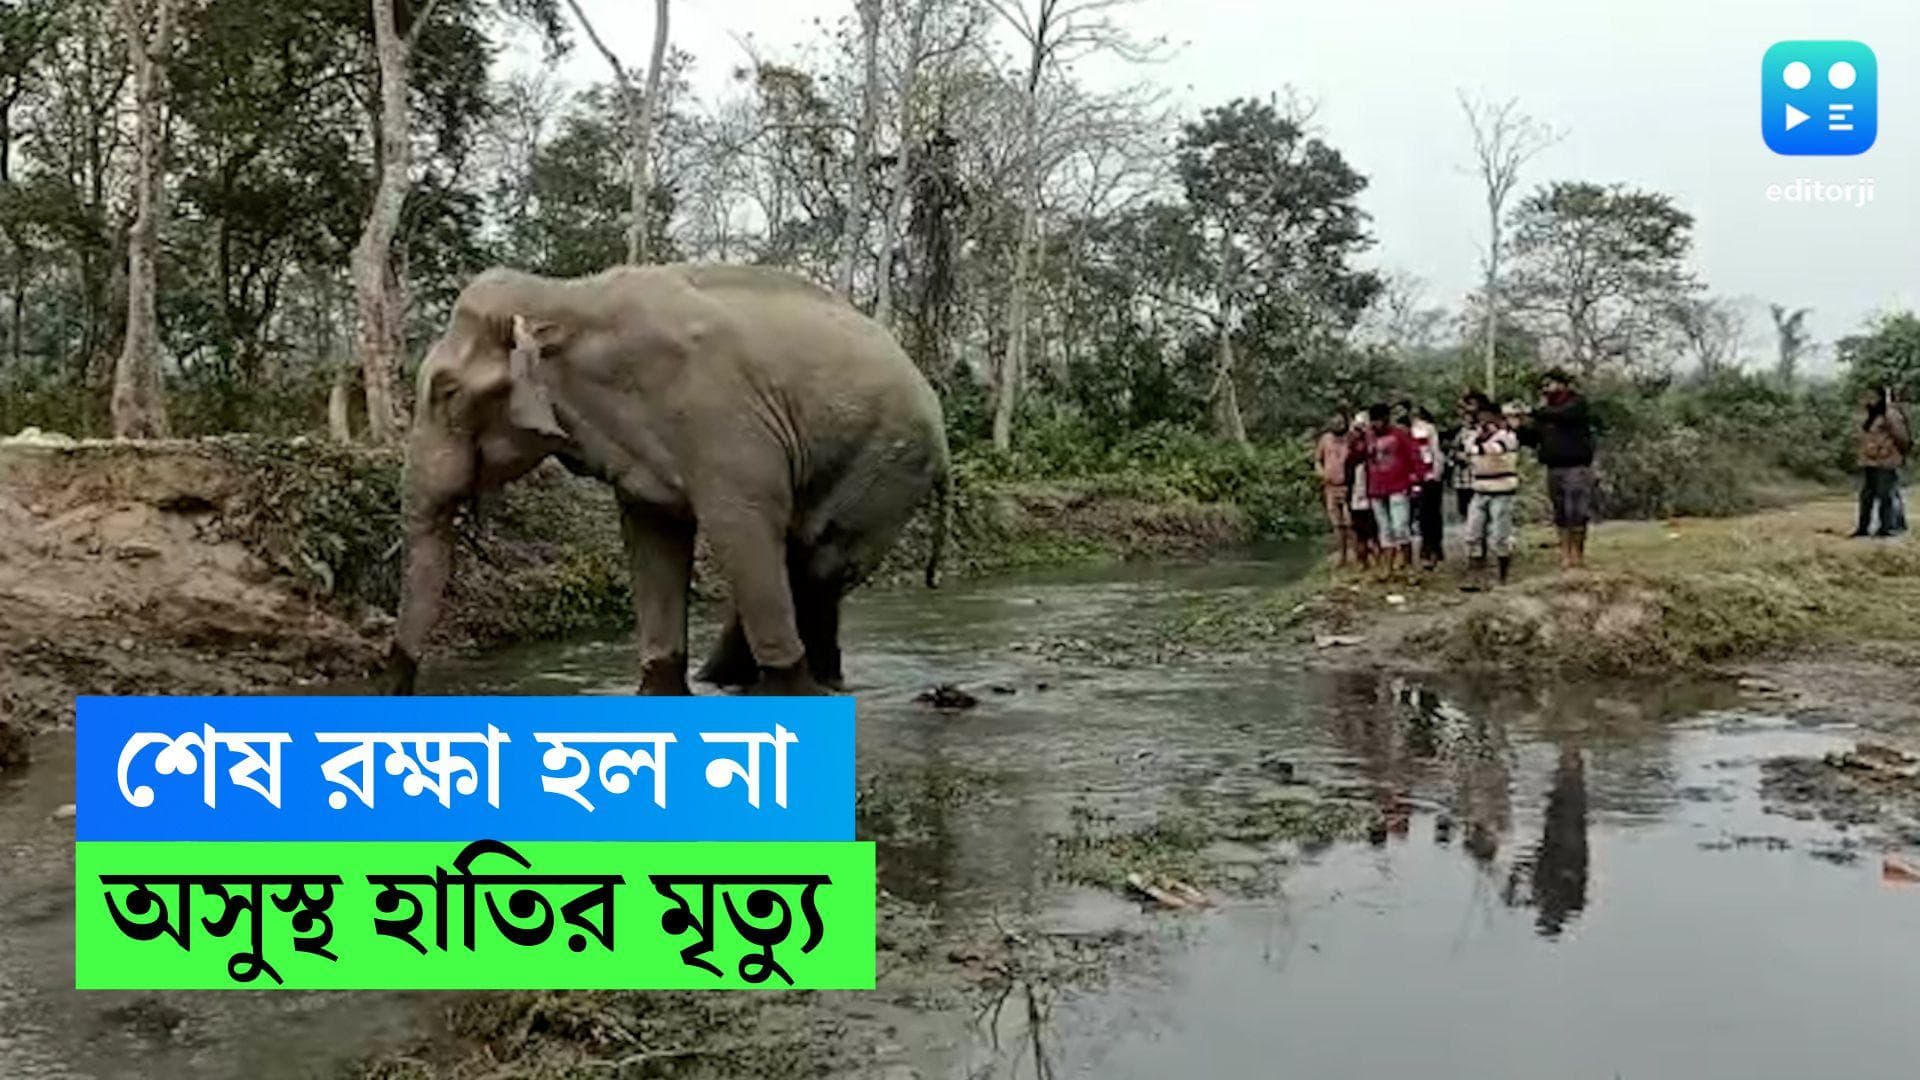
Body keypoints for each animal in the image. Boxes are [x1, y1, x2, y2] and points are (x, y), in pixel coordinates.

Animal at [385, 262, 950, 697]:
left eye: (447, 393)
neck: (565, 298)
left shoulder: (721, 416)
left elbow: (740, 527)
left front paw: (791, 694)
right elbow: (653, 540)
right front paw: (661, 688)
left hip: (884, 465)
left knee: (817, 564)